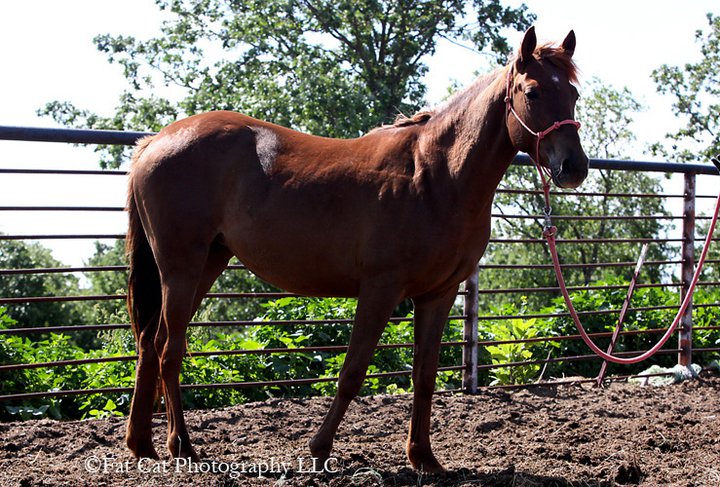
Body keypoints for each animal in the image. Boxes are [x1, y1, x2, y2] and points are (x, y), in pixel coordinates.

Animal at [122, 27, 584, 472]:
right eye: (532, 91)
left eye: (574, 94)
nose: (574, 167)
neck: (435, 175)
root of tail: (156, 142)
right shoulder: (380, 289)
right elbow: (353, 372)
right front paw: (319, 449)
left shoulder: (438, 294)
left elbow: (425, 375)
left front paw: (423, 458)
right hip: (182, 267)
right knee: (169, 349)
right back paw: (181, 446)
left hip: (207, 263)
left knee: (150, 342)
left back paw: (142, 444)